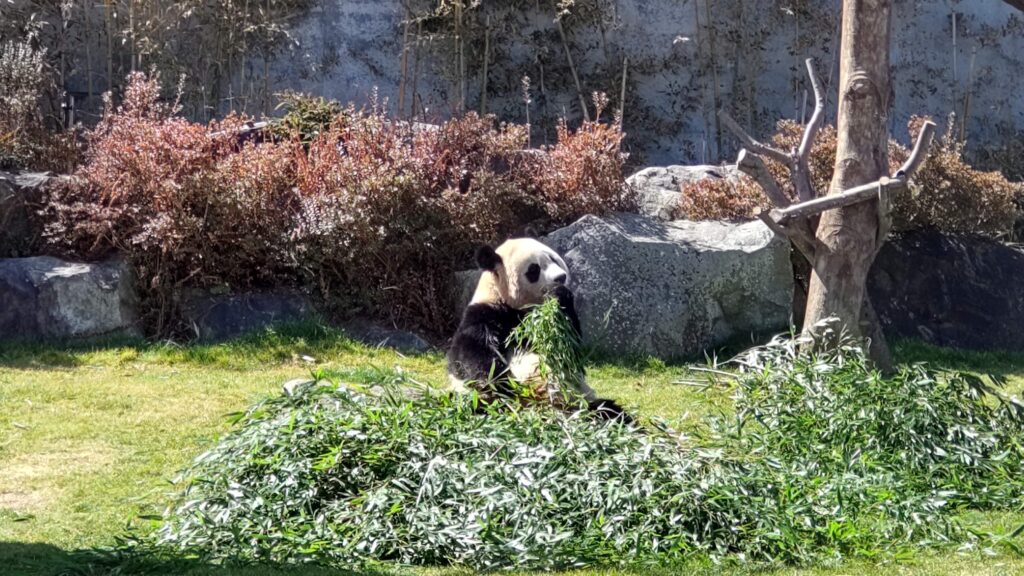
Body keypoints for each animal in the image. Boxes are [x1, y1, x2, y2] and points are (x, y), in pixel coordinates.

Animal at [448, 235, 630, 420]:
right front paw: (506, 386)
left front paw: (560, 294)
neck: (514, 306)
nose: (561, 277)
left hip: (581, 401)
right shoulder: (485, 315)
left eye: (553, 259)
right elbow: (475, 356)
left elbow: (569, 352)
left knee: (607, 410)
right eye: (534, 269)